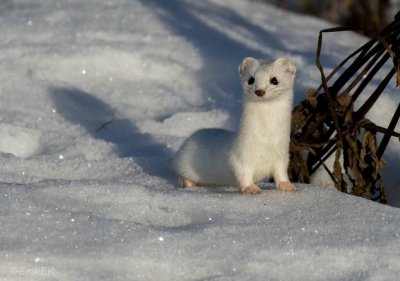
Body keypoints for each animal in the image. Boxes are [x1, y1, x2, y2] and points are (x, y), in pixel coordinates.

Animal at [172, 56, 296, 192]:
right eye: (251, 79)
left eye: (274, 80)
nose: (260, 91)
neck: (266, 140)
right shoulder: (240, 155)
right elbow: (243, 173)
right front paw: (251, 188)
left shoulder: (282, 155)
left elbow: (281, 172)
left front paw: (287, 185)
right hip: (184, 162)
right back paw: (188, 183)